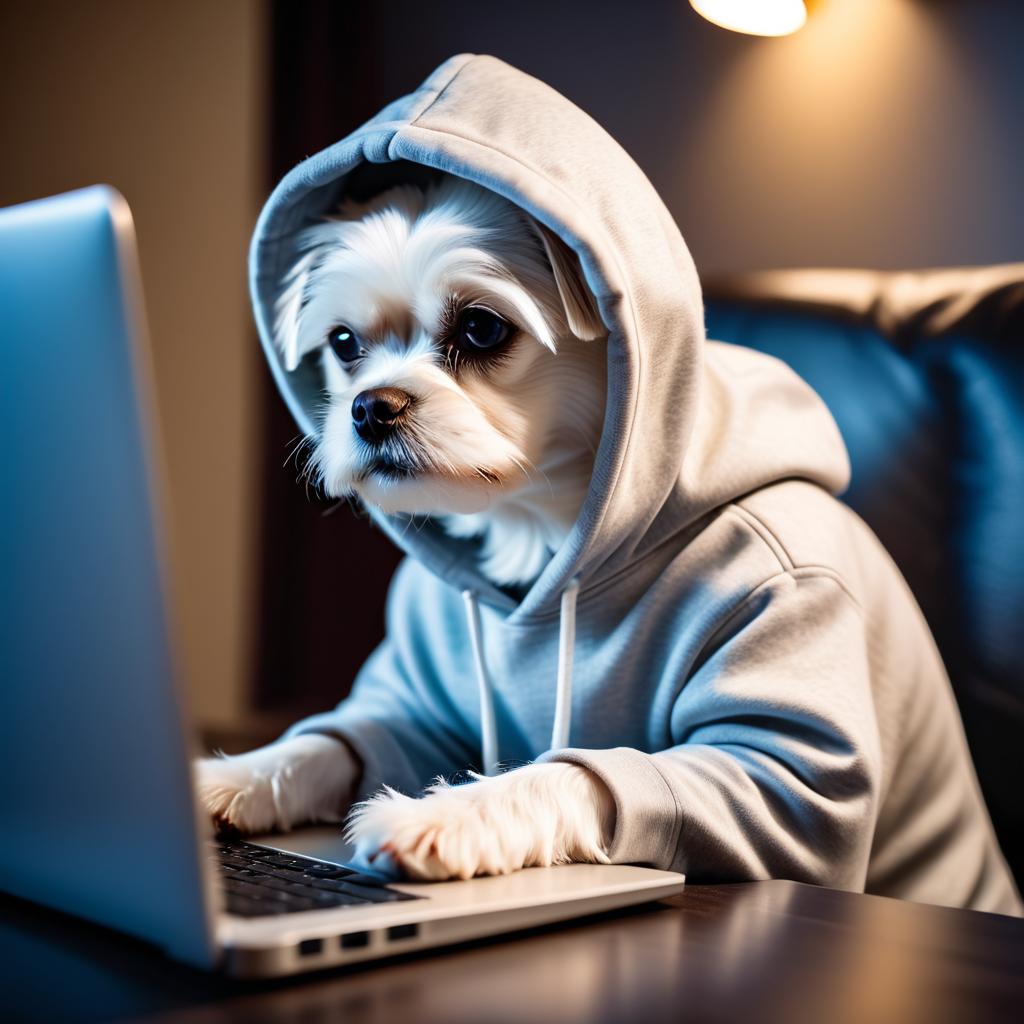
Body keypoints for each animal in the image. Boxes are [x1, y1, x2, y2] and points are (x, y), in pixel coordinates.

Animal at [196, 176, 618, 880]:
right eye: (344, 343)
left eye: (481, 327)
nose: (370, 406)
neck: (537, 529)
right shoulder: (418, 714)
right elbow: (324, 746)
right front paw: (225, 780)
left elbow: (561, 776)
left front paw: (442, 817)